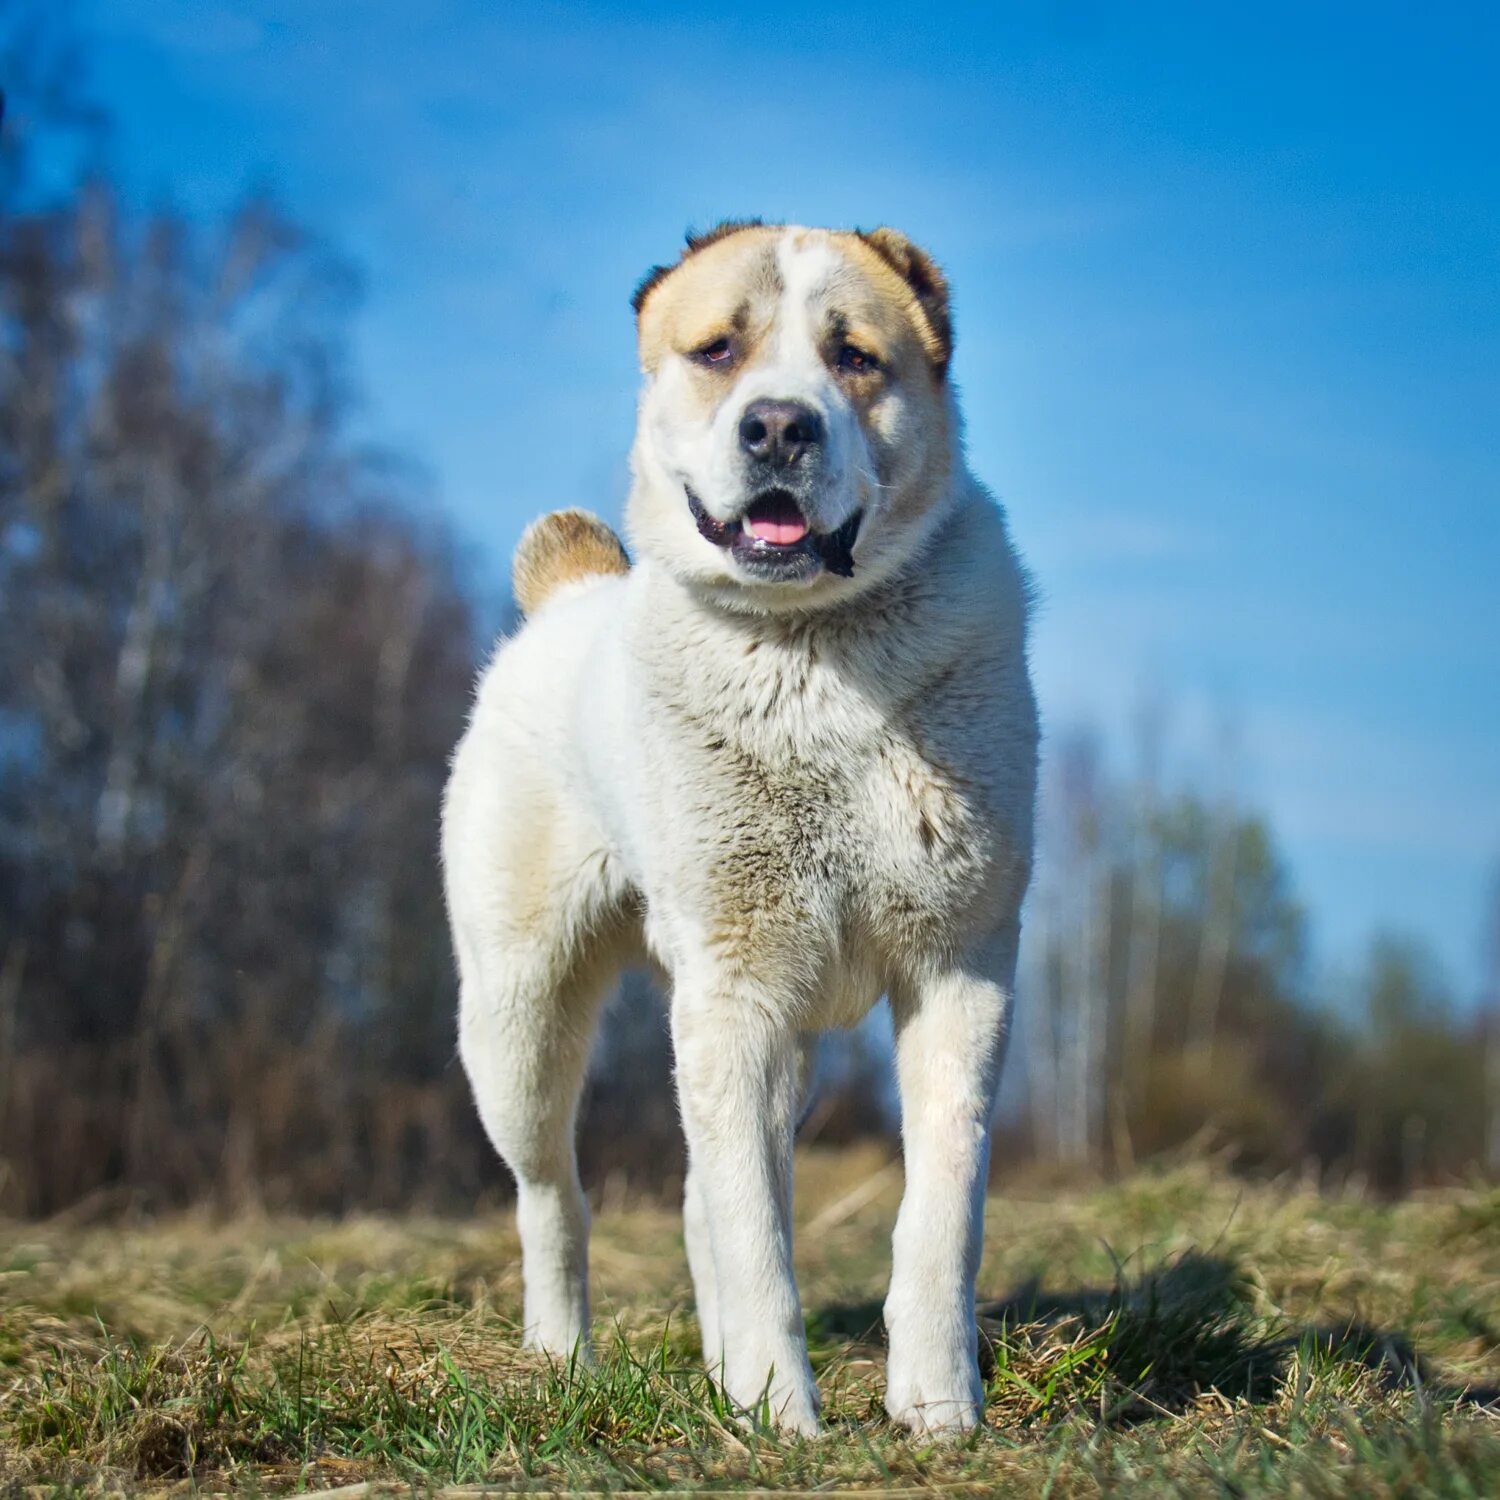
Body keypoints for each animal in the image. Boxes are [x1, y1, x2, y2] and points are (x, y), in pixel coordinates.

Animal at [438, 219, 1038, 1428]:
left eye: (854, 356)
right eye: (719, 348)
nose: (778, 425)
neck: (814, 652)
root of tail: (568, 594)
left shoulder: (961, 968)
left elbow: (942, 1204)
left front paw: (937, 1407)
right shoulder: (738, 988)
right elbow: (757, 1228)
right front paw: (781, 1419)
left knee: (691, 1194)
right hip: (519, 1019)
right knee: (552, 1194)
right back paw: (562, 1357)